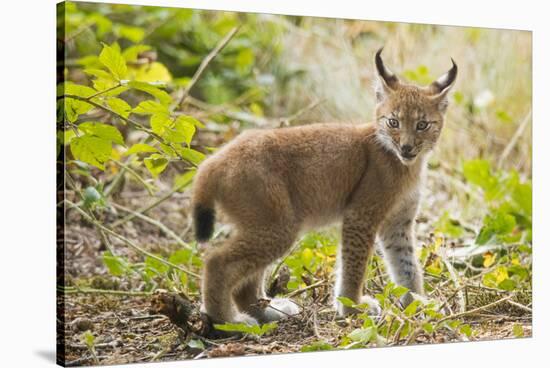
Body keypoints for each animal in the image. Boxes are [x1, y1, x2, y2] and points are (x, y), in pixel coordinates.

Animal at [192, 48, 460, 324]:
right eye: (393, 122)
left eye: (422, 125)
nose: (406, 147)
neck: (408, 164)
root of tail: (215, 159)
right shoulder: (361, 215)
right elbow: (354, 265)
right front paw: (351, 306)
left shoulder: (398, 222)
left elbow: (407, 265)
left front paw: (418, 303)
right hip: (278, 225)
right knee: (215, 260)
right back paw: (227, 319)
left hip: (267, 222)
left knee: (244, 278)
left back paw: (265, 311)